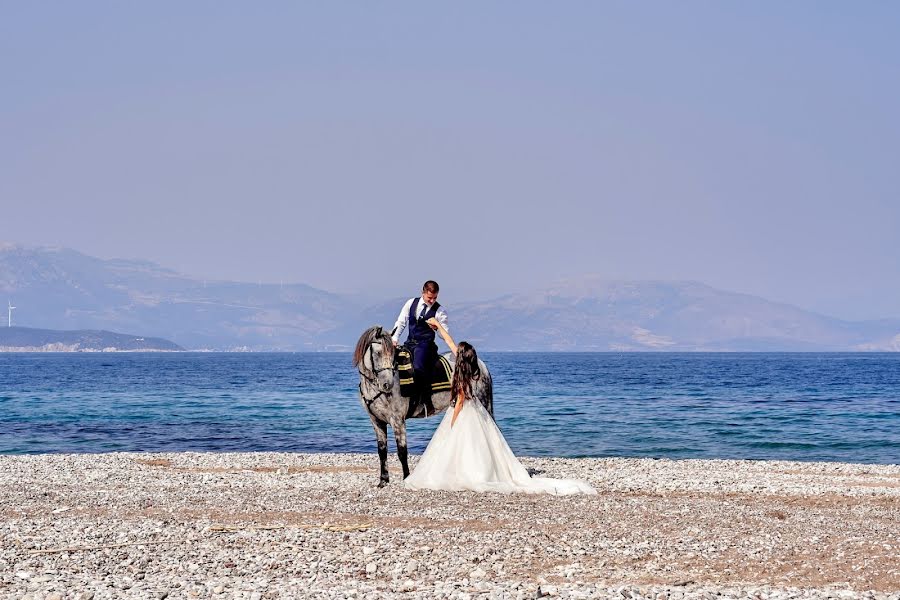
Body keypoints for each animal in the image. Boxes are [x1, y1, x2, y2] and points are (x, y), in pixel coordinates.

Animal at [352, 324, 492, 488]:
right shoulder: (376, 421)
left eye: (392, 355)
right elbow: (382, 451)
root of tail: (480, 364)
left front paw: (406, 478)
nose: (387, 384)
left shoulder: (397, 420)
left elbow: (402, 451)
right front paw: (383, 480)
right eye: (378, 353)